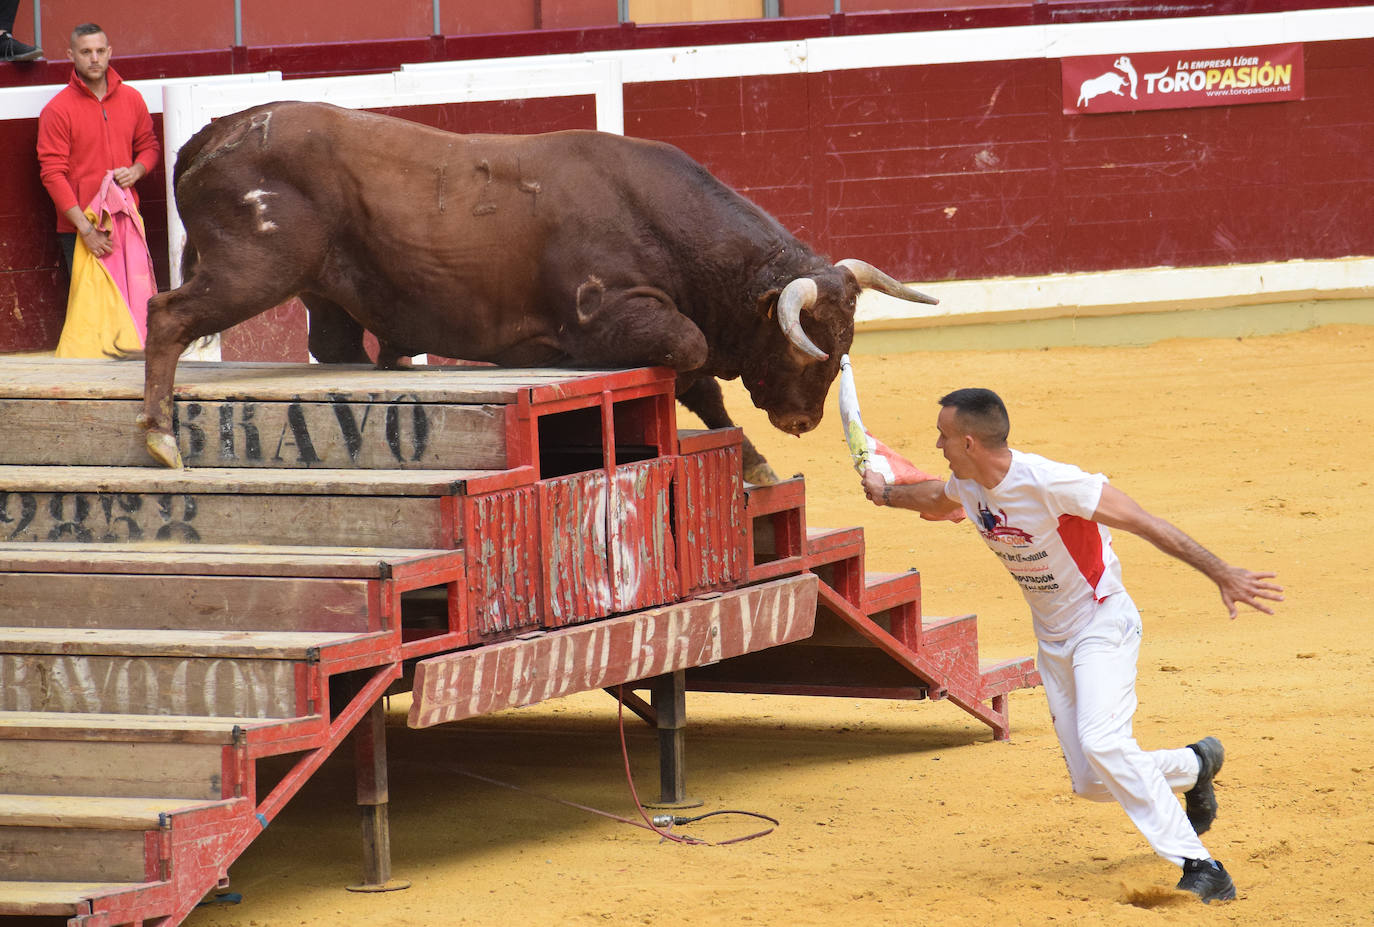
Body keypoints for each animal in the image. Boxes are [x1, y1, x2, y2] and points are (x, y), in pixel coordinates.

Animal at [139, 102, 934, 477]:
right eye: (805, 349)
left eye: (845, 345)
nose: (803, 421)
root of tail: (216, 131)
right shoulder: (615, 313)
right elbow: (691, 353)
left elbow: (701, 382)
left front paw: (757, 462)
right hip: (252, 269)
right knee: (167, 314)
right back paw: (160, 436)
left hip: (321, 290)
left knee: (331, 346)